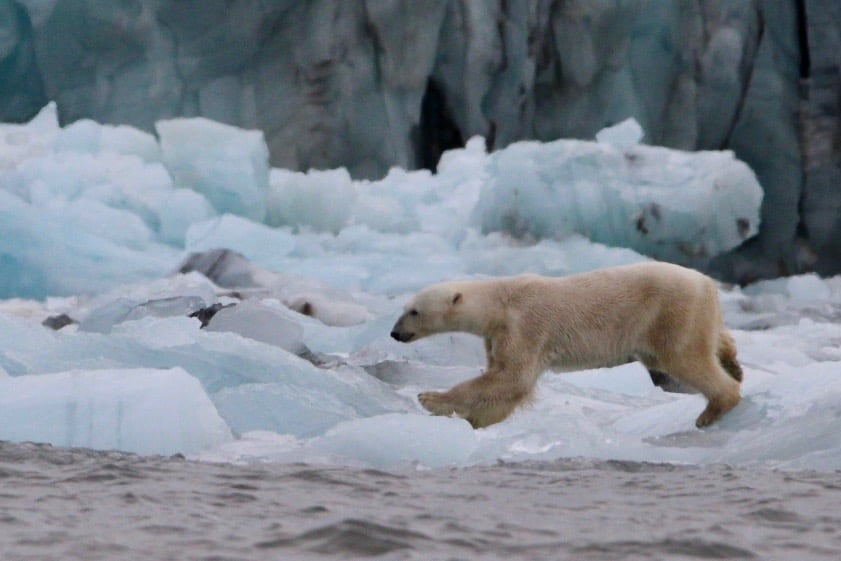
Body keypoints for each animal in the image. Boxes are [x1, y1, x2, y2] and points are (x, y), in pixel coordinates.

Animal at [390, 261, 742, 429]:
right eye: (404, 308)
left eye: (414, 311)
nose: (395, 333)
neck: (500, 302)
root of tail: (706, 281)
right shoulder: (497, 334)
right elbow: (505, 382)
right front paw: (475, 422)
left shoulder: (524, 326)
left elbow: (512, 377)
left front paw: (429, 398)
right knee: (711, 340)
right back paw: (734, 365)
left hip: (670, 311)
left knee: (684, 357)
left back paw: (713, 408)